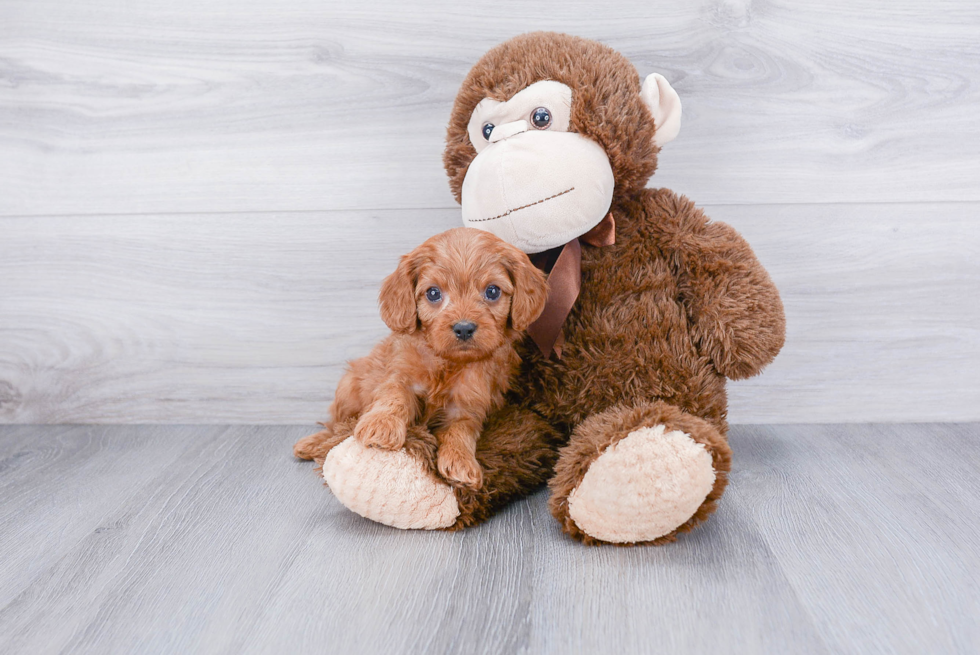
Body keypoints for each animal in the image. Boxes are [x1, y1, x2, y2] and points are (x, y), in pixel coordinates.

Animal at [290, 228, 552, 490]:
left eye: (492, 291)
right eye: (433, 293)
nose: (464, 328)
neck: (446, 362)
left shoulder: (467, 405)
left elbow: (461, 431)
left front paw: (461, 462)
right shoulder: (400, 375)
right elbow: (394, 398)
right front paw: (381, 426)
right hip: (347, 389)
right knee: (336, 426)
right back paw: (311, 443)